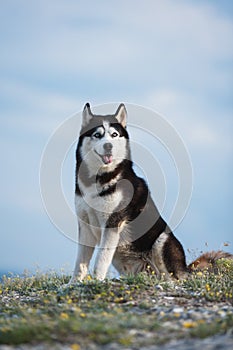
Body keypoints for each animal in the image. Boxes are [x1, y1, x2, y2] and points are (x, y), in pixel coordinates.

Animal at [70, 103, 232, 282]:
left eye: (114, 135)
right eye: (97, 135)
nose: (108, 146)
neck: (100, 178)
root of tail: (185, 268)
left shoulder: (112, 223)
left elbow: (100, 260)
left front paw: (97, 280)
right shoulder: (85, 224)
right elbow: (80, 263)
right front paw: (73, 284)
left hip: (162, 240)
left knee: (173, 278)